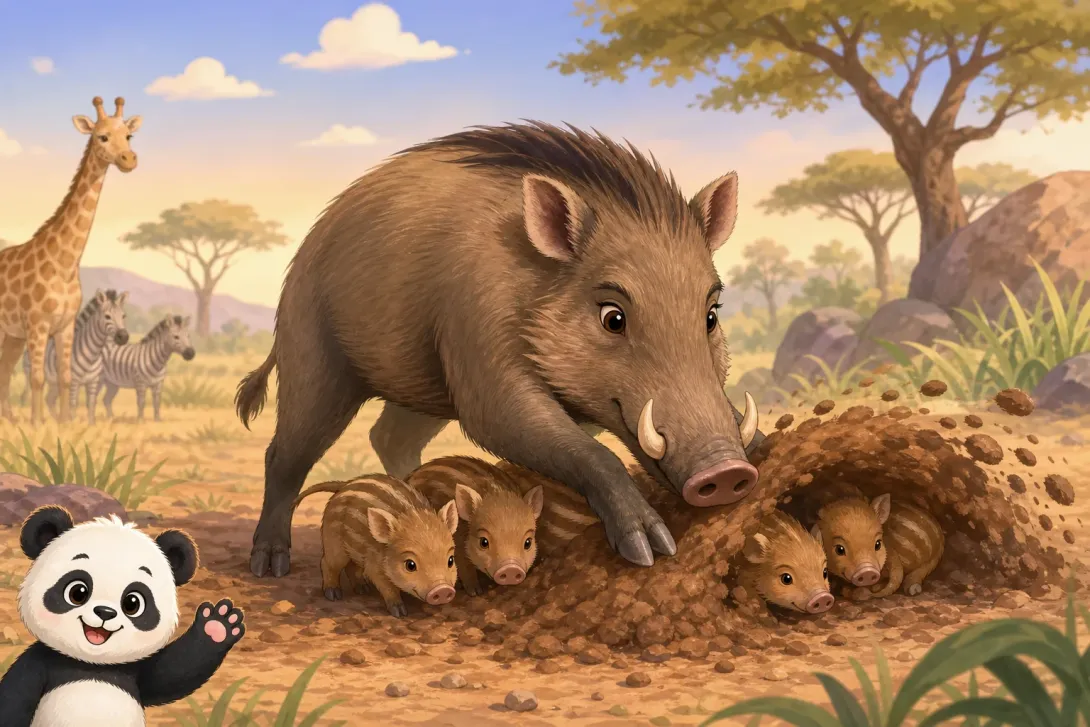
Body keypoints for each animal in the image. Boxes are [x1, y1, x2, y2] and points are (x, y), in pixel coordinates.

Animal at [235, 121, 767, 578]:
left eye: (711, 315)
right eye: (613, 317)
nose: (728, 471)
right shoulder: (483, 369)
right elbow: (592, 454)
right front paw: (647, 548)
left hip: (422, 392)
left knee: (387, 437)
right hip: (315, 362)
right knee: (285, 454)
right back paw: (269, 564)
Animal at [291, 474, 459, 617]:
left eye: (450, 560)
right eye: (410, 565)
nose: (443, 590)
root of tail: (344, 484)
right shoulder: (374, 566)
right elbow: (387, 587)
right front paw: (400, 613)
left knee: (352, 568)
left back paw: (363, 590)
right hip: (333, 543)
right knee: (327, 563)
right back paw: (333, 594)